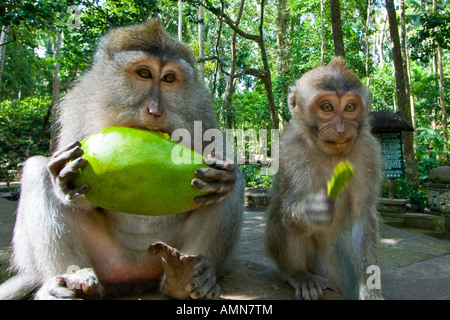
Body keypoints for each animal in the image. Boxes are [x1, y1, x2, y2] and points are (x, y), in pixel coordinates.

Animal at [0, 19, 244, 300]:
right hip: (106, 259)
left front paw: (224, 177)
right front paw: (64, 179)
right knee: (38, 170)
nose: (155, 110)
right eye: (144, 74)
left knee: (231, 185)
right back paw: (71, 280)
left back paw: (186, 277)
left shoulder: (201, 109)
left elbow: (225, 171)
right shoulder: (79, 104)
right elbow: (72, 188)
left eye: (169, 78)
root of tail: (134, 277)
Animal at [264, 57, 384, 300]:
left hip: (333, 260)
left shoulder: (368, 152)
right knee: (280, 218)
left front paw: (370, 290)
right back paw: (299, 275)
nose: (340, 128)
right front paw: (312, 210)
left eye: (349, 107)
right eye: (326, 107)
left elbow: (362, 219)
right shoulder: (290, 151)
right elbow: (287, 206)